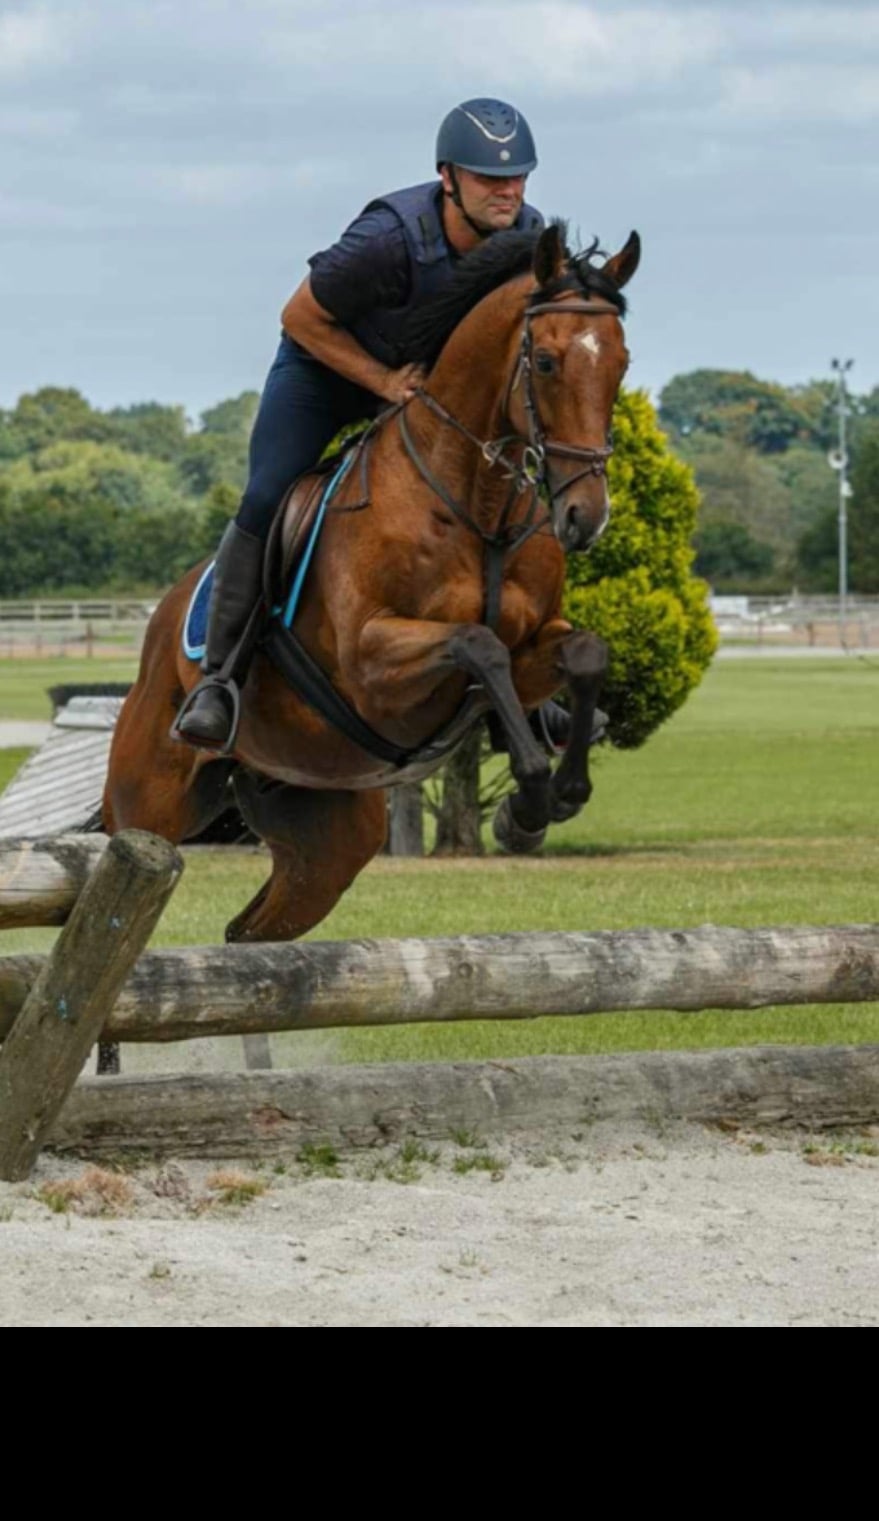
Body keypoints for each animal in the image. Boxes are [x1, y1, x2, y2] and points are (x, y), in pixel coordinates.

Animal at [103, 220, 639, 946]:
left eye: (621, 363)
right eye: (549, 363)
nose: (586, 515)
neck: (479, 503)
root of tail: (159, 627)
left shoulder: (536, 645)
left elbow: (584, 652)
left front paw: (550, 801)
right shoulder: (371, 665)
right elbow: (477, 644)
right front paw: (530, 794)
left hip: (326, 832)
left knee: (252, 931)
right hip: (148, 805)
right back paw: (207, 706)